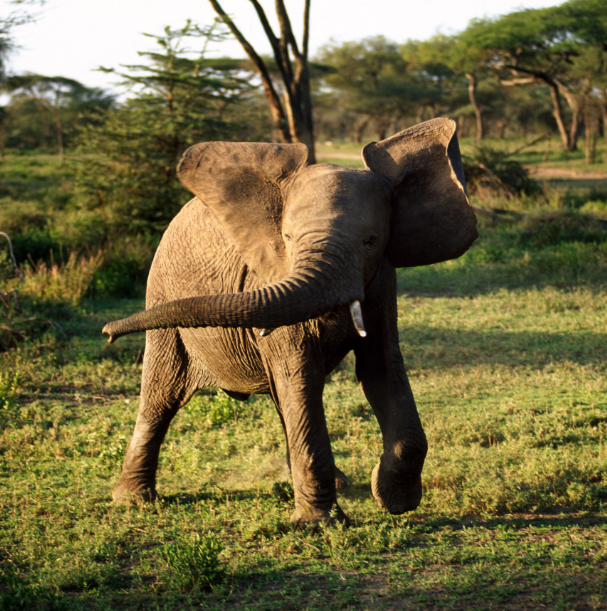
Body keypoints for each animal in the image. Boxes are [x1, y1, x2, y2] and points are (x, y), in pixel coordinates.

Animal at [104, 118, 478, 524]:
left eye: (371, 240)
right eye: (287, 237)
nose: (107, 333)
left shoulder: (382, 279)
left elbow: (380, 367)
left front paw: (393, 500)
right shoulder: (270, 275)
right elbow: (299, 375)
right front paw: (320, 525)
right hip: (160, 293)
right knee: (161, 395)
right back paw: (133, 500)